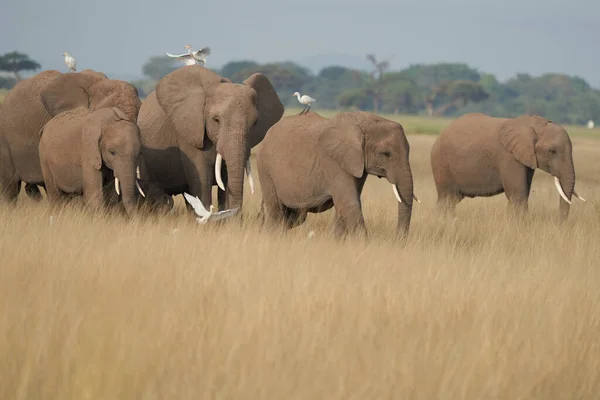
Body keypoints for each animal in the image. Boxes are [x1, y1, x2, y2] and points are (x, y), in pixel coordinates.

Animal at [256, 111, 418, 239]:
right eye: (385, 154)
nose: (397, 241)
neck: (364, 121)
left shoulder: (356, 165)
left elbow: (343, 207)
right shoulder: (335, 164)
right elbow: (349, 204)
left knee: (295, 217)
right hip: (265, 168)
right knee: (276, 212)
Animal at [432, 112, 584, 219]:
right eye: (552, 151)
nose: (560, 224)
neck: (534, 124)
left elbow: (521, 194)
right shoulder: (509, 157)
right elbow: (518, 194)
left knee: (452, 200)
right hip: (441, 164)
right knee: (446, 199)